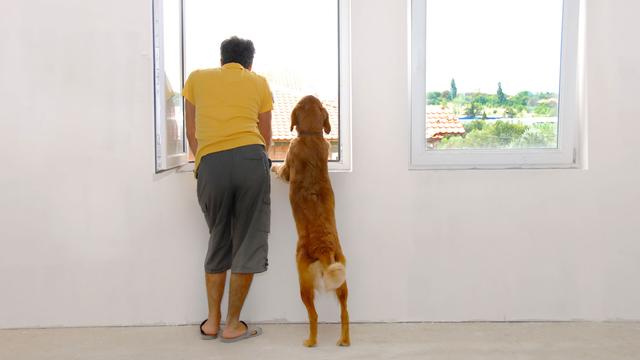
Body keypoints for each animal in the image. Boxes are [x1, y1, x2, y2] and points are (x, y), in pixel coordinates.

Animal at [272, 95, 348, 346]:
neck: (312, 136)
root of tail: (324, 249)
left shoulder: (288, 162)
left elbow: (280, 169)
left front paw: (272, 165)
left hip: (303, 283)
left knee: (313, 315)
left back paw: (311, 341)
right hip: (342, 281)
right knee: (345, 312)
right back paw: (344, 340)